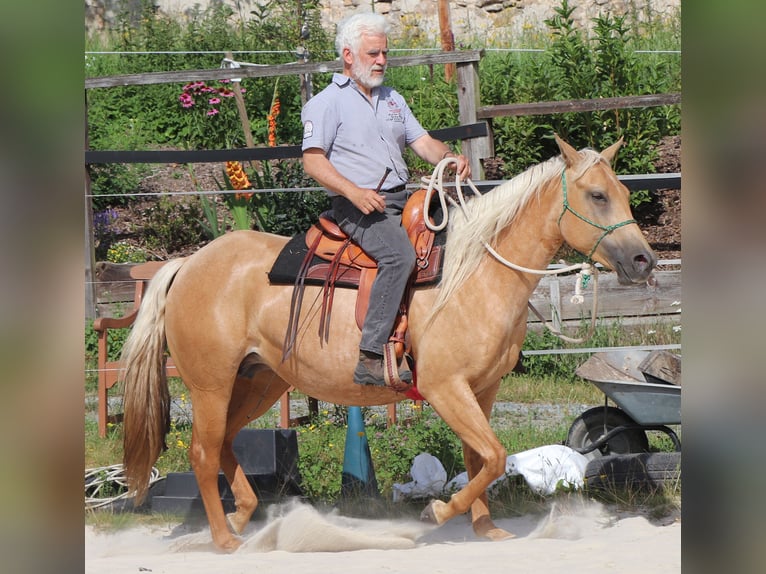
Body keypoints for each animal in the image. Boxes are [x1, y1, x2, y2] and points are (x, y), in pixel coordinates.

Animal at [123, 136, 656, 552]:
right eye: (596, 195)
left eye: (624, 192)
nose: (644, 260)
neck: (475, 275)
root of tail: (188, 264)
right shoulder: (445, 387)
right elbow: (494, 455)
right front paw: (438, 513)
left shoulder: (481, 390)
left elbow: (479, 458)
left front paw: (486, 529)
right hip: (211, 385)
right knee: (202, 451)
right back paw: (223, 538)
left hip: (259, 382)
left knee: (226, 443)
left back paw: (241, 516)